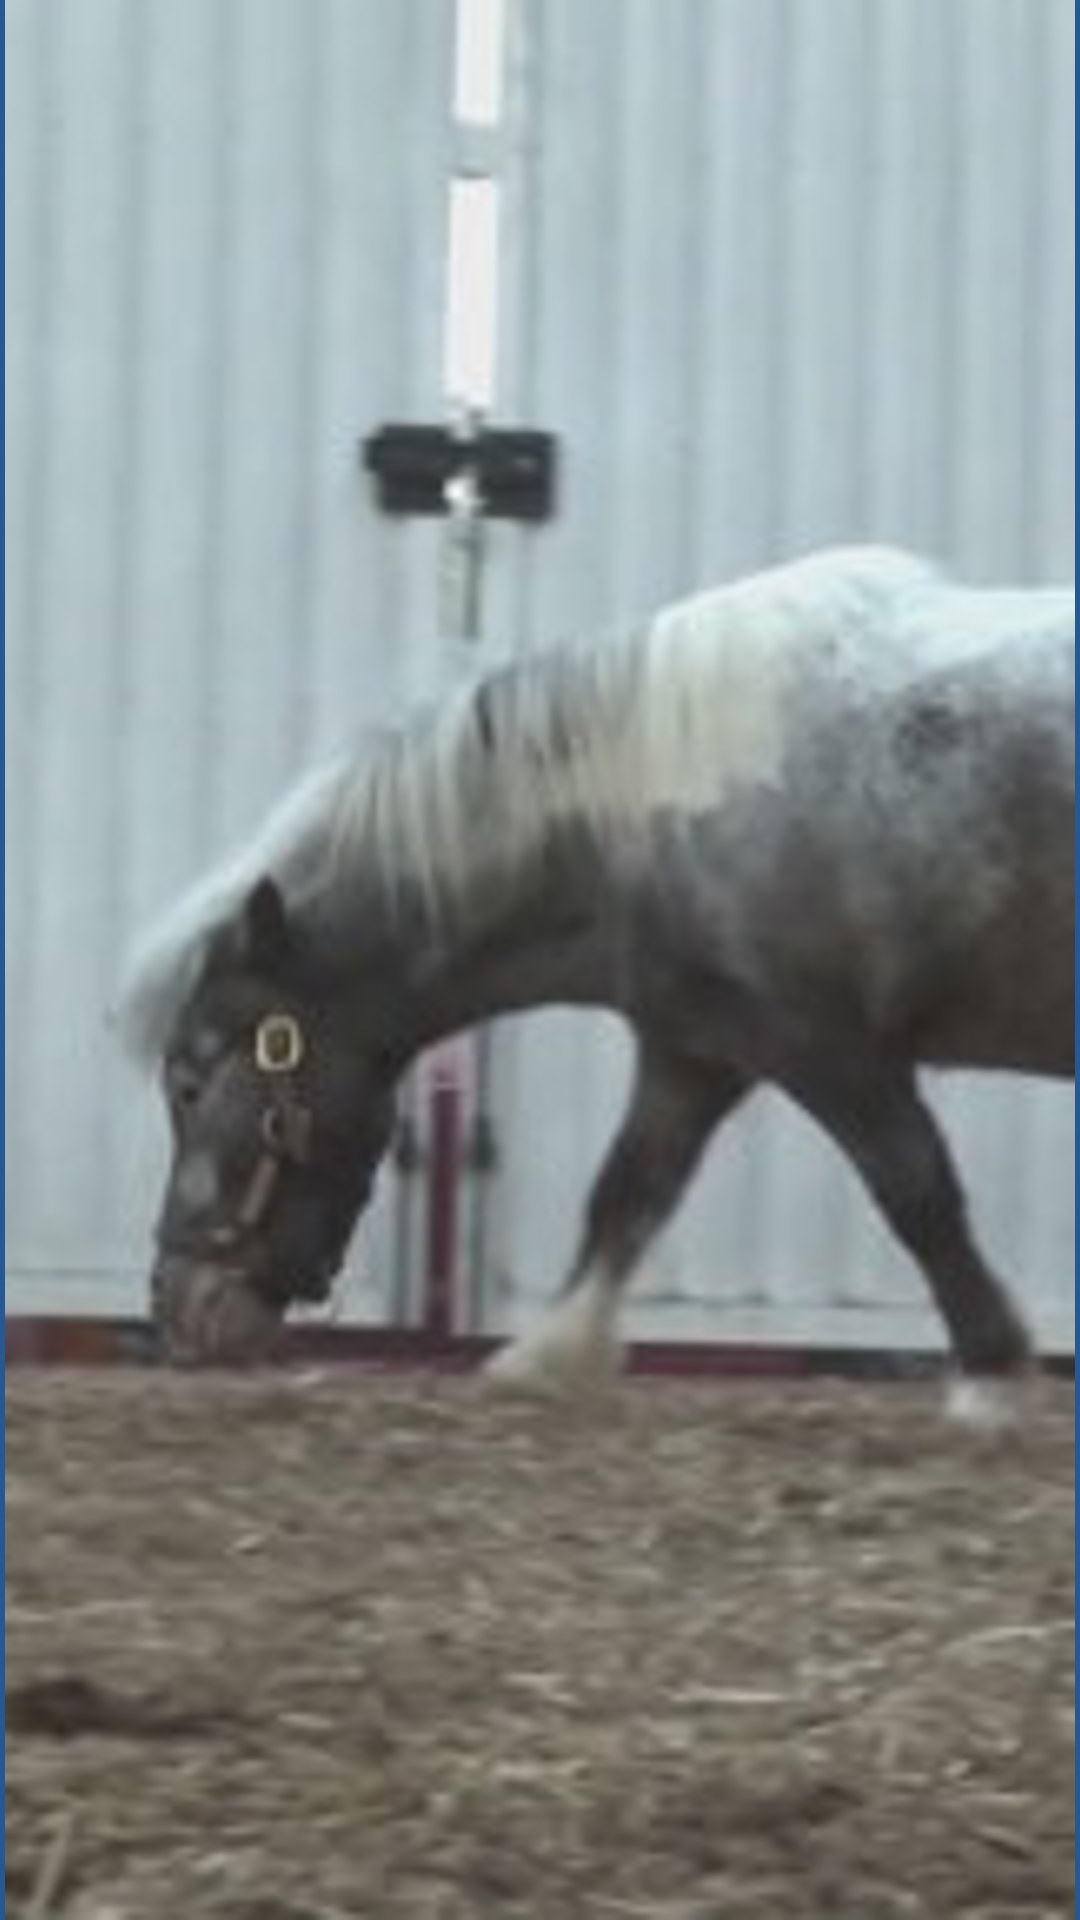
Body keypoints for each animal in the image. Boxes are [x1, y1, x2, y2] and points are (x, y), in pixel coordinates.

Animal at [117, 544, 1074, 1417]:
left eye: (191, 1081)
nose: (174, 1306)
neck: (656, 804)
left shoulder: (826, 1045)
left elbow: (918, 1192)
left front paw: (993, 1374)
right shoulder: (698, 1047)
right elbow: (628, 1191)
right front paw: (548, 1356)